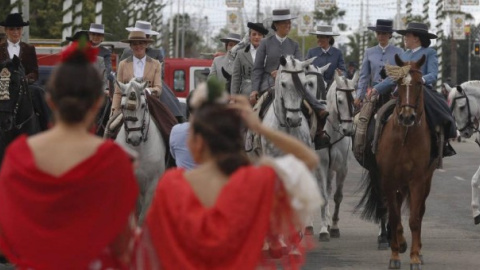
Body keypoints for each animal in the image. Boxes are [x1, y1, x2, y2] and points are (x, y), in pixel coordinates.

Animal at [115, 78, 166, 224]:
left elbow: (143, 216)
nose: (134, 138)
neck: (139, 150)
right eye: (122, 106)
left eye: (143, 105)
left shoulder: (152, 184)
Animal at [306, 65, 358, 240]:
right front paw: (323, 230)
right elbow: (322, 196)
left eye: (355, 99)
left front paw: (333, 226)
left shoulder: (342, 168)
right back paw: (309, 225)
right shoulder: (321, 165)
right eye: (340, 100)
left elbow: (337, 196)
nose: (348, 130)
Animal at [362, 54, 436, 270]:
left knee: (419, 211)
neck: (405, 136)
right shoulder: (387, 178)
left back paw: (417, 249)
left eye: (420, 83)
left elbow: (414, 219)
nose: (407, 117)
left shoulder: (418, 180)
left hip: (424, 180)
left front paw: (414, 257)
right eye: (399, 84)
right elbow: (394, 217)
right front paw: (395, 255)